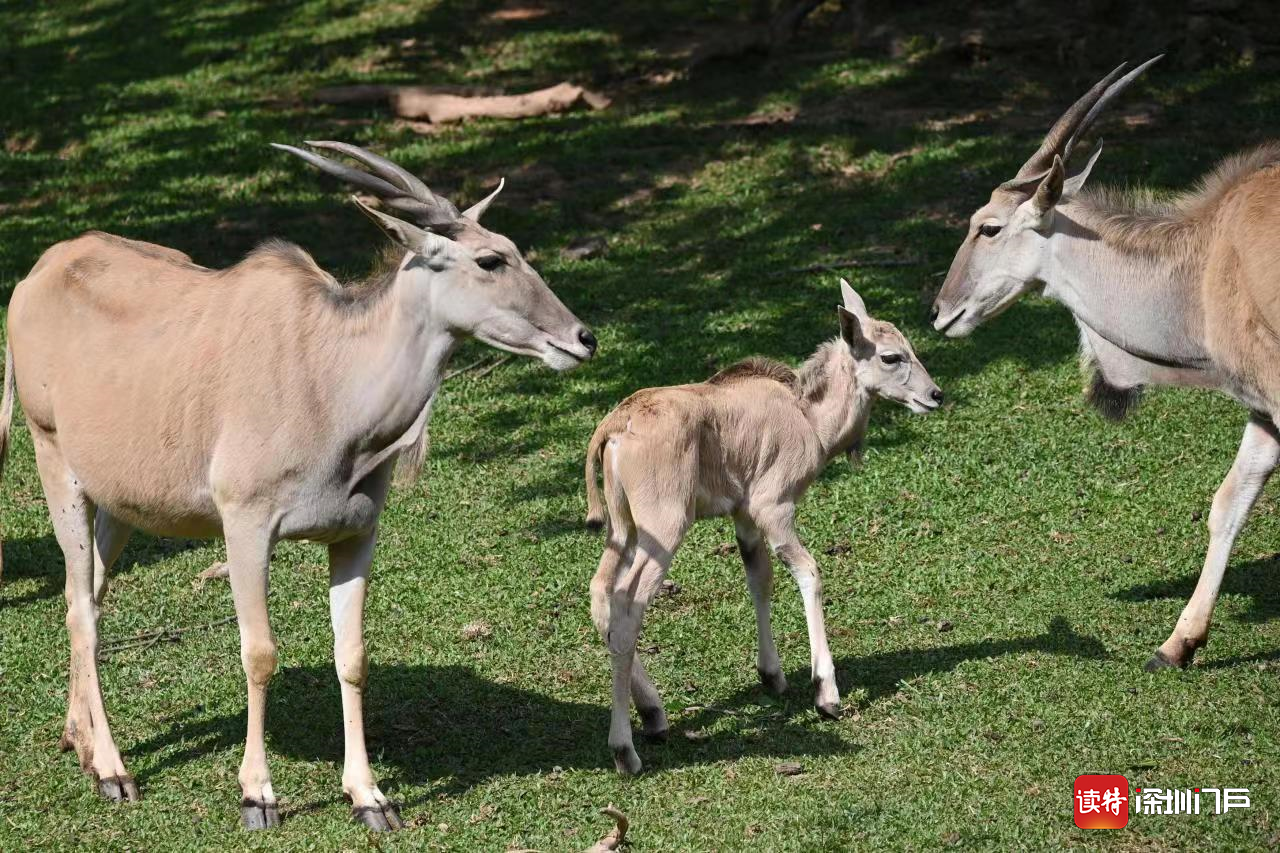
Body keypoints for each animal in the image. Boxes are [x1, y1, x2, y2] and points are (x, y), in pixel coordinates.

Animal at [0, 142, 596, 824]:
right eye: (490, 259)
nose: (583, 339)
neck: (329, 377)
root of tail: (37, 275)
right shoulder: (246, 526)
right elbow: (260, 654)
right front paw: (257, 792)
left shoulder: (355, 534)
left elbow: (352, 656)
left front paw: (368, 795)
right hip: (56, 463)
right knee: (80, 609)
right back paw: (110, 768)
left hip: (121, 504)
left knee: (90, 594)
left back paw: (78, 738)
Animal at [586, 281, 936, 773]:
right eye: (891, 356)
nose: (935, 394)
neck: (806, 415)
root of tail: (617, 425)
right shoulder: (775, 509)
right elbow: (809, 573)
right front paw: (826, 694)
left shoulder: (745, 518)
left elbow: (760, 580)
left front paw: (772, 675)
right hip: (665, 529)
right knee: (627, 604)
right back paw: (625, 750)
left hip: (624, 531)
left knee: (601, 593)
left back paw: (653, 712)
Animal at [931, 56, 1280, 671]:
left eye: (988, 227)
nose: (939, 312)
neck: (1210, 261)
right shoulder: (1264, 410)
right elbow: (1229, 502)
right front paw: (1177, 644)